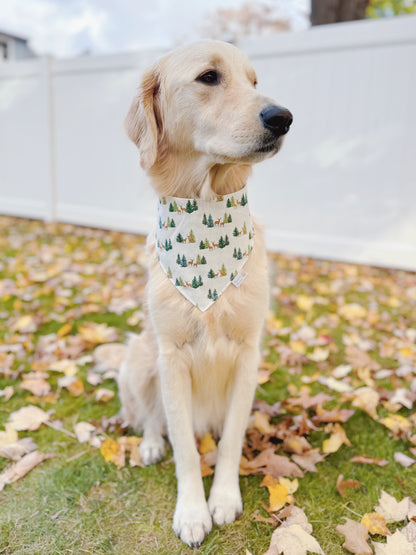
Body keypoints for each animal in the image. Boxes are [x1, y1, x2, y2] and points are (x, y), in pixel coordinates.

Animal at [118, 39, 292, 548]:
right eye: (209, 77)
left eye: (254, 81)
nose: (283, 117)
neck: (207, 205)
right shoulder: (171, 357)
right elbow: (185, 449)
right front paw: (193, 511)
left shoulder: (249, 354)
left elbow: (231, 439)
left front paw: (224, 499)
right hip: (138, 357)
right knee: (151, 418)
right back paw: (150, 443)